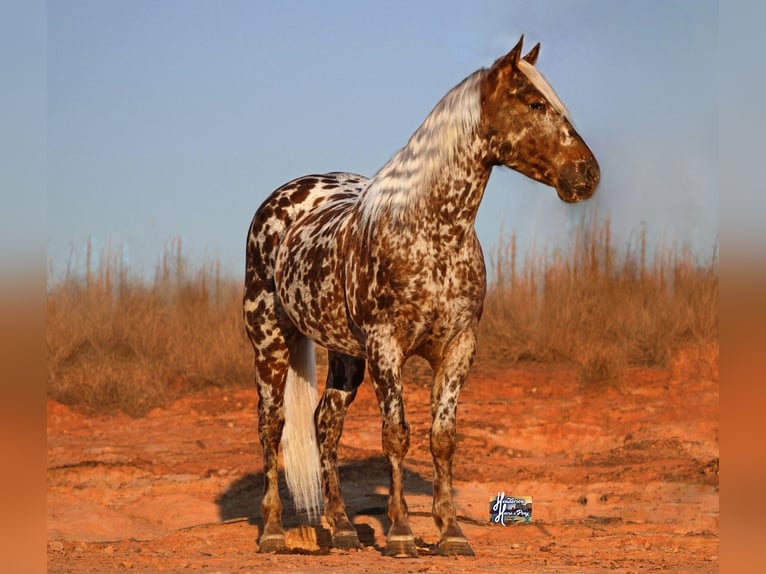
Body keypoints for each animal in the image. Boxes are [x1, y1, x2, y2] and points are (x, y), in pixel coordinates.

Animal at [244, 36, 600, 560]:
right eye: (535, 103)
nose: (587, 175)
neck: (432, 234)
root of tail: (283, 200)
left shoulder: (457, 348)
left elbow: (443, 439)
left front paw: (452, 533)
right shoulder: (386, 349)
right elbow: (397, 436)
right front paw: (401, 534)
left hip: (345, 356)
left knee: (325, 424)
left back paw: (344, 529)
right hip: (270, 342)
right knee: (272, 425)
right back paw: (272, 531)